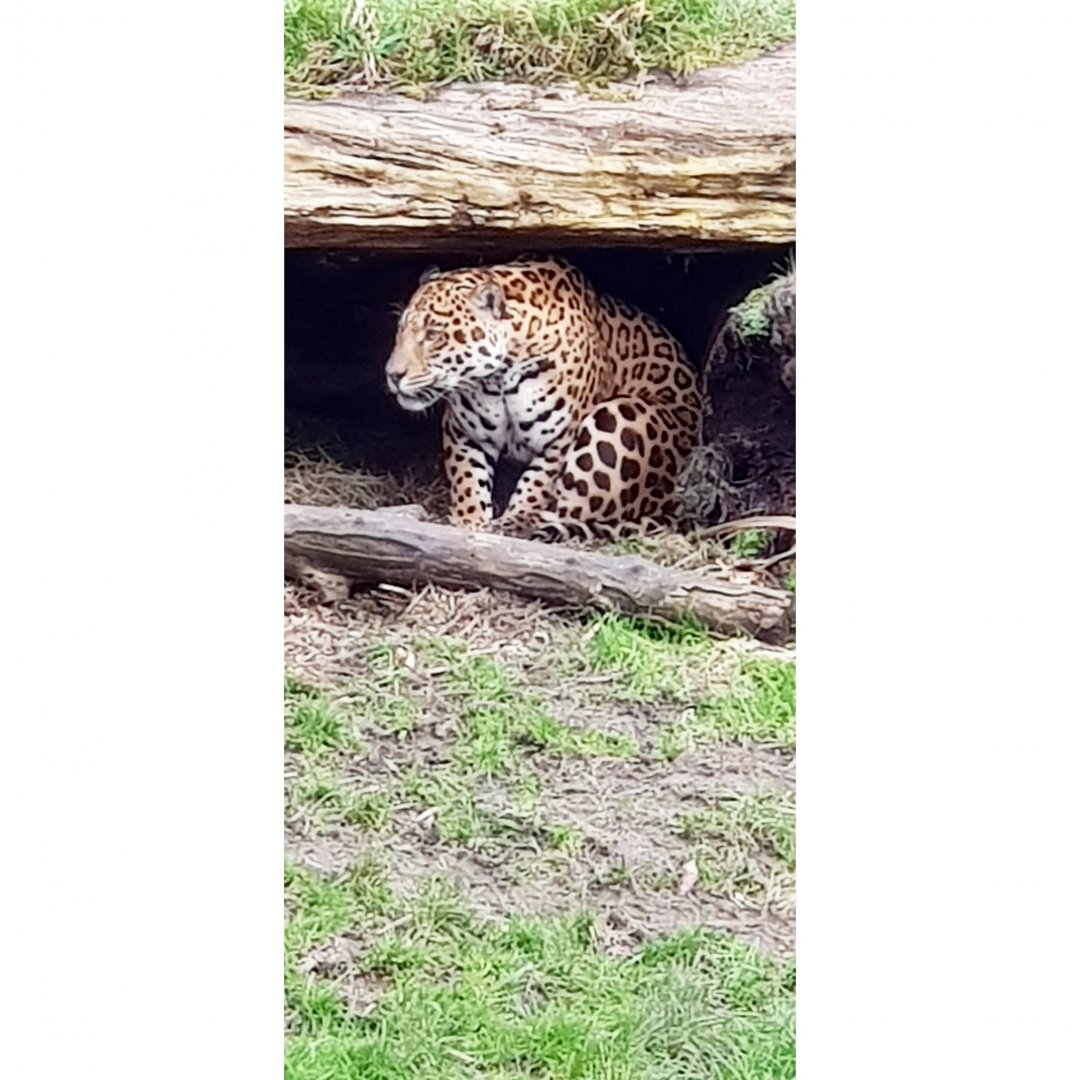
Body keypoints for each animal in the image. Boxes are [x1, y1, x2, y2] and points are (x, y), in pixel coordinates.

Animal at [384, 256, 703, 541]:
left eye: (433, 334)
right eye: (400, 330)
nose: (392, 375)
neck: (499, 378)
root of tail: (672, 503)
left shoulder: (560, 439)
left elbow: (536, 485)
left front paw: (512, 520)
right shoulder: (464, 431)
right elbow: (467, 478)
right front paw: (469, 520)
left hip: (620, 414)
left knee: (575, 512)